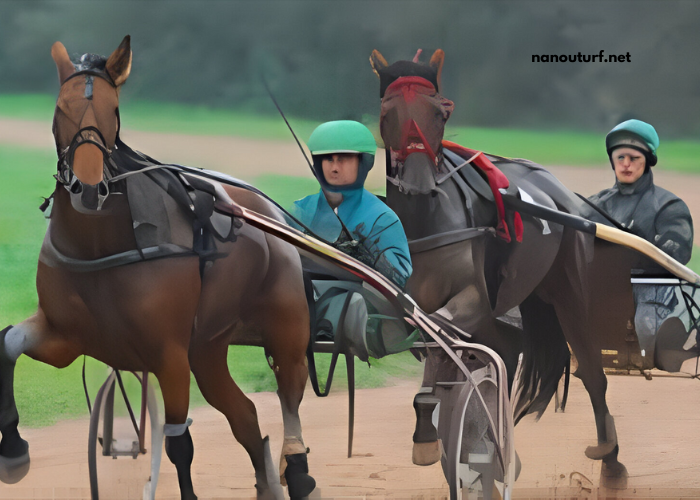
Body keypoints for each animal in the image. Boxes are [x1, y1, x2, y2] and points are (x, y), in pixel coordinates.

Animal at [0, 36, 314, 500]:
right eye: (60, 109)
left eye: (113, 109)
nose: (88, 189)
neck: (100, 246)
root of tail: (265, 210)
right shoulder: (65, 337)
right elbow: (8, 342)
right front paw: (14, 451)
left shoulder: (169, 354)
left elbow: (179, 443)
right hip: (207, 349)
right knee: (245, 416)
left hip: (285, 325)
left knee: (290, 395)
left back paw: (297, 470)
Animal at [372, 47, 640, 488]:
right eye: (387, 112)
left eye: (440, 113)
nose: (419, 183)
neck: (427, 220)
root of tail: (559, 189)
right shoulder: (402, 303)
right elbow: (421, 339)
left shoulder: (473, 298)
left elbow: (440, 339)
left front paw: (432, 431)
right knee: (508, 349)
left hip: (567, 294)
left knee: (592, 373)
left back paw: (612, 462)